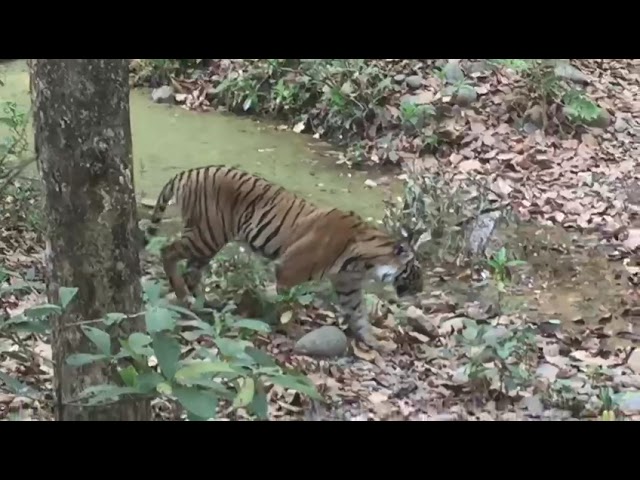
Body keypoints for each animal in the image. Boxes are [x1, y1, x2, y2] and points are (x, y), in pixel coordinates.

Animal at [143, 165, 423, 349]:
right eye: (415, 271)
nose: (420, 290)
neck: (364, 262)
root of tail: (190, 171)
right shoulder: (290, 268)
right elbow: (288, 304)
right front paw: (288, 329)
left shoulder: (348, 285)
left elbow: (358, 314)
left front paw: (375, 342)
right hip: (206, 235)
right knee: (167, 251)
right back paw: (183, 295)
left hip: (207, 241)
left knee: (192, 270)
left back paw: (203, 304)